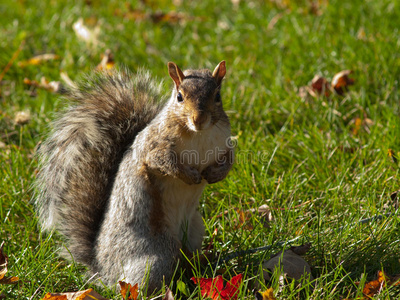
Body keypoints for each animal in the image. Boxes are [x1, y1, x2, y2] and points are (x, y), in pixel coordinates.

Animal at [35, 60, 234, 290]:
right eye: (179, 97)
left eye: (217, 96)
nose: (199, 119)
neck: (198, 133)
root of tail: (103, 271)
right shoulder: (153, 145)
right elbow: (164, 162)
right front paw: (189, 176)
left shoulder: (225, 143)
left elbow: (229, 159)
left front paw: (216, 174)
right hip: (158, 253)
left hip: (194, 231)